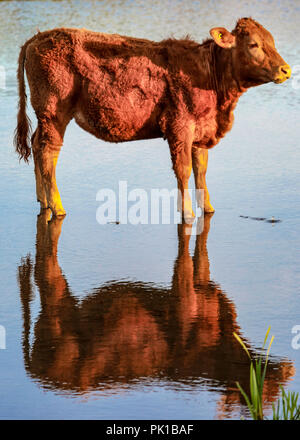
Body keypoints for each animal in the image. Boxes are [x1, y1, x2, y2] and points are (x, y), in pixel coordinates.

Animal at [14, 18, 290, 218]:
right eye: (253, 45)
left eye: (273, 42)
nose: (286, 69)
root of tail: (38, 37)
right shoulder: (180, 127)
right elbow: (184, 170)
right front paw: (187, 213)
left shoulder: (201, 131)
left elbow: (201, 170)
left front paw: (208, 208)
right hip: (54, 112)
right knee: (48, 151)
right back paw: (57, 207)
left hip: (45, 116)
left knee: (36, 144)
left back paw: (43, 201)